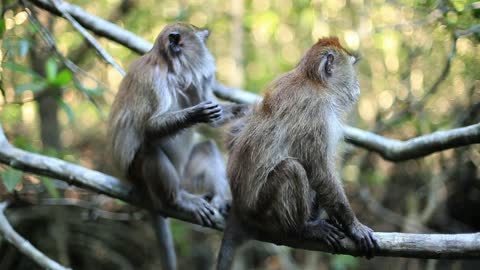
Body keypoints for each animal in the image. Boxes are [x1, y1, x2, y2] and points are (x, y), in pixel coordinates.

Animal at [108, 22, 248, 270]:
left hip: (186, 177)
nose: (208, 49)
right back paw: (177, 201)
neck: (172, 72)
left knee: (206, 148)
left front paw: (245, 108)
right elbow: (149, 127)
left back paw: (219, 199)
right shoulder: (154, 81)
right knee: (150, 152)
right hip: (140, 176)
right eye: (202, 40)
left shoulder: (193, 85)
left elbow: (216, 118)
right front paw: (195, 113)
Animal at [217, 37, 378, 268]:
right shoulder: (316, 112)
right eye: (352, 68)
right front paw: (354, 226)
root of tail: (239, 210)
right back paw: (303, 228)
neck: (314, 82)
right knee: (292, 168)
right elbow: (320, 172)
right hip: (261, 211)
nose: (357, 86)